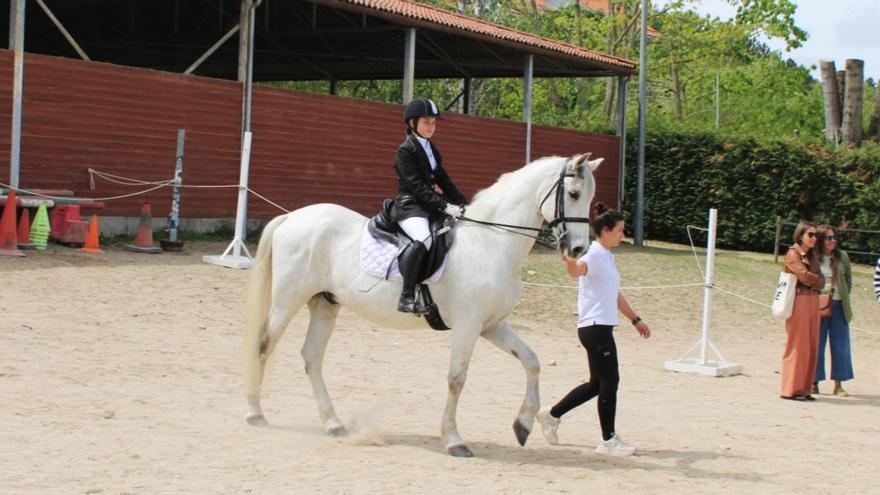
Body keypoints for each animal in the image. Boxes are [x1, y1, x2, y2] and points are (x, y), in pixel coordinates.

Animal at [244, 154, 600, 458]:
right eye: (573, 193)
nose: (579, 249)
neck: (489, 243)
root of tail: (292, 216)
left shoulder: (491, 325)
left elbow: (531, 361)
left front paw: (523, 425)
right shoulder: (469, 325)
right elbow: (457, 379)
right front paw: (454, 440)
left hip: (325, 304)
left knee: (312, 356)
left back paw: (333, 424)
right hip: (288, 299)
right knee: (264, 344)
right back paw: (255, 414)